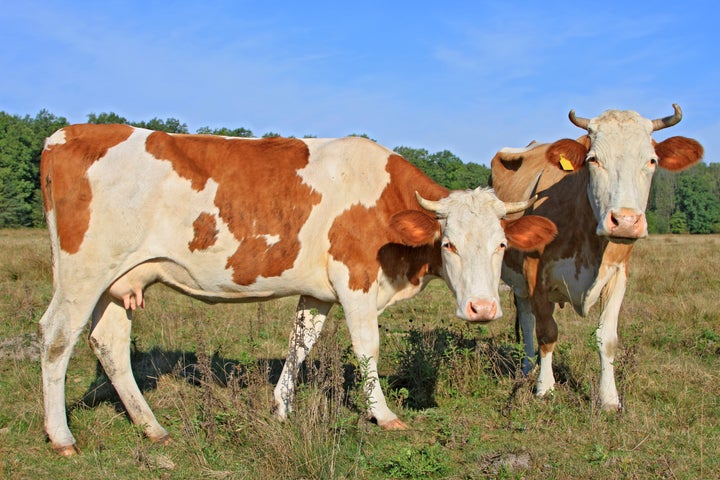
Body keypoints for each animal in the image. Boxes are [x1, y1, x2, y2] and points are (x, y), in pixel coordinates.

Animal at [38, 124, 556, 454]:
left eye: (501, 244)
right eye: (448, 244)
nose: (482, 308)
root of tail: (68, 133)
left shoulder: (318, 293)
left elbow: (300, 344)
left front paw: (281, 408)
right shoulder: (355, 281)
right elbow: (367, 347)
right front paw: (383, 415)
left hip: (119, 281)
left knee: (109, 343)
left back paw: (153, 429)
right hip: (83, 273)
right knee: (56, 338)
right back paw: (63, 438)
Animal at [490, 104, 704, 408]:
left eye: (651, 160)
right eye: (593, 160)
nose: (625, 221)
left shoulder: (618, 274)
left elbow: (607, 338)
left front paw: (609, 398)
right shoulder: (535, 273)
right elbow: (546, 331)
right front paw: (545, 388)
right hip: (518, 280)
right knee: (528, 319)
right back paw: (528, 368)